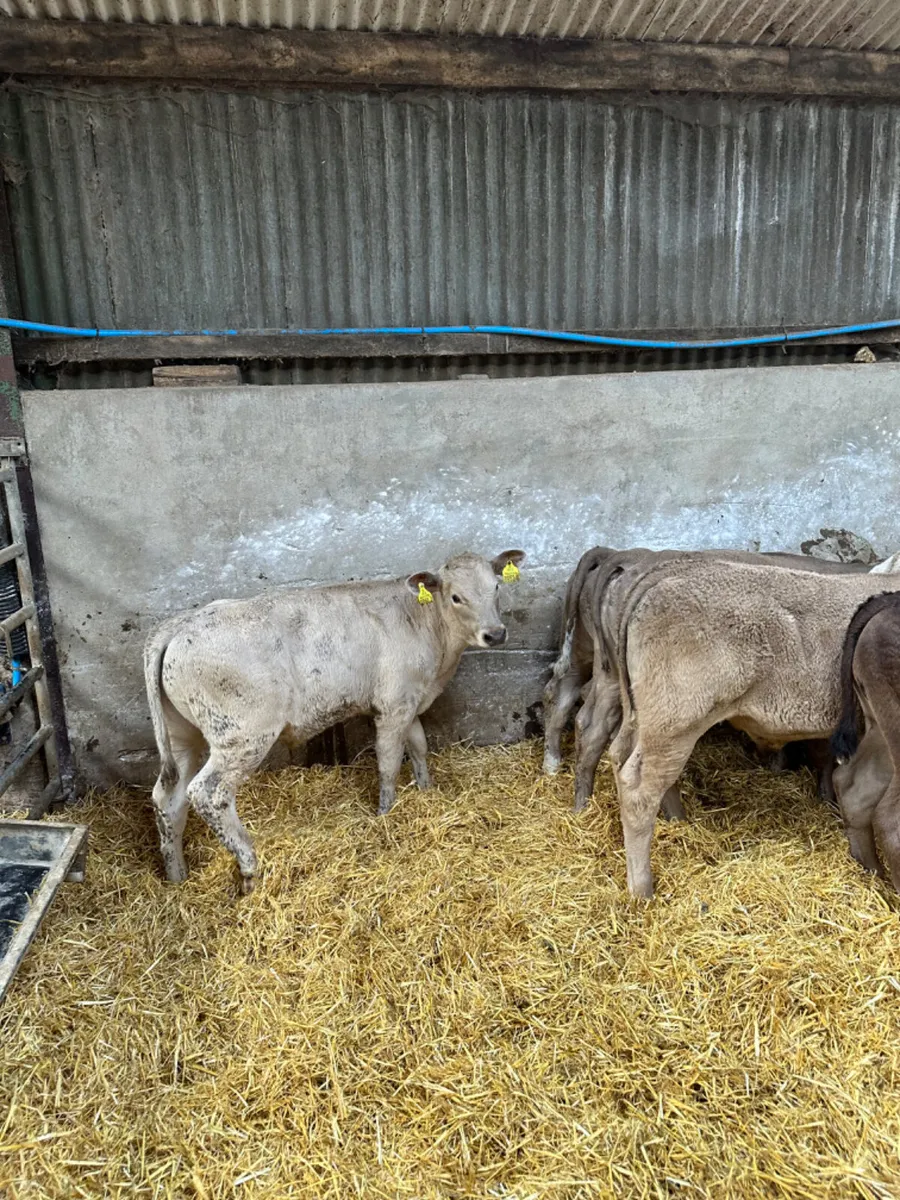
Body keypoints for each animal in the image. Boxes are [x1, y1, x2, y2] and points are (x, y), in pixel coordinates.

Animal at [144, 549, 526, 892]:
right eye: (456, 596)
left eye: (495, 587)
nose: (495, 634)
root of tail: (179, 625)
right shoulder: (393, 705)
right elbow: (389, 762)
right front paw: (385, 814)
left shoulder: (411, 701)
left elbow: (419, 746)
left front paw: (426, 792)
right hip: (242, 736)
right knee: (208, 793)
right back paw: (249, 866)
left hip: (183, 735)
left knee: (168, 797)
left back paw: (177, 876)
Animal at [588, 558, 900, 897]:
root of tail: (664, 576)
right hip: (675, 722)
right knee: (640, 791)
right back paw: (642, 888)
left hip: (647, 720)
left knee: (624, 757)